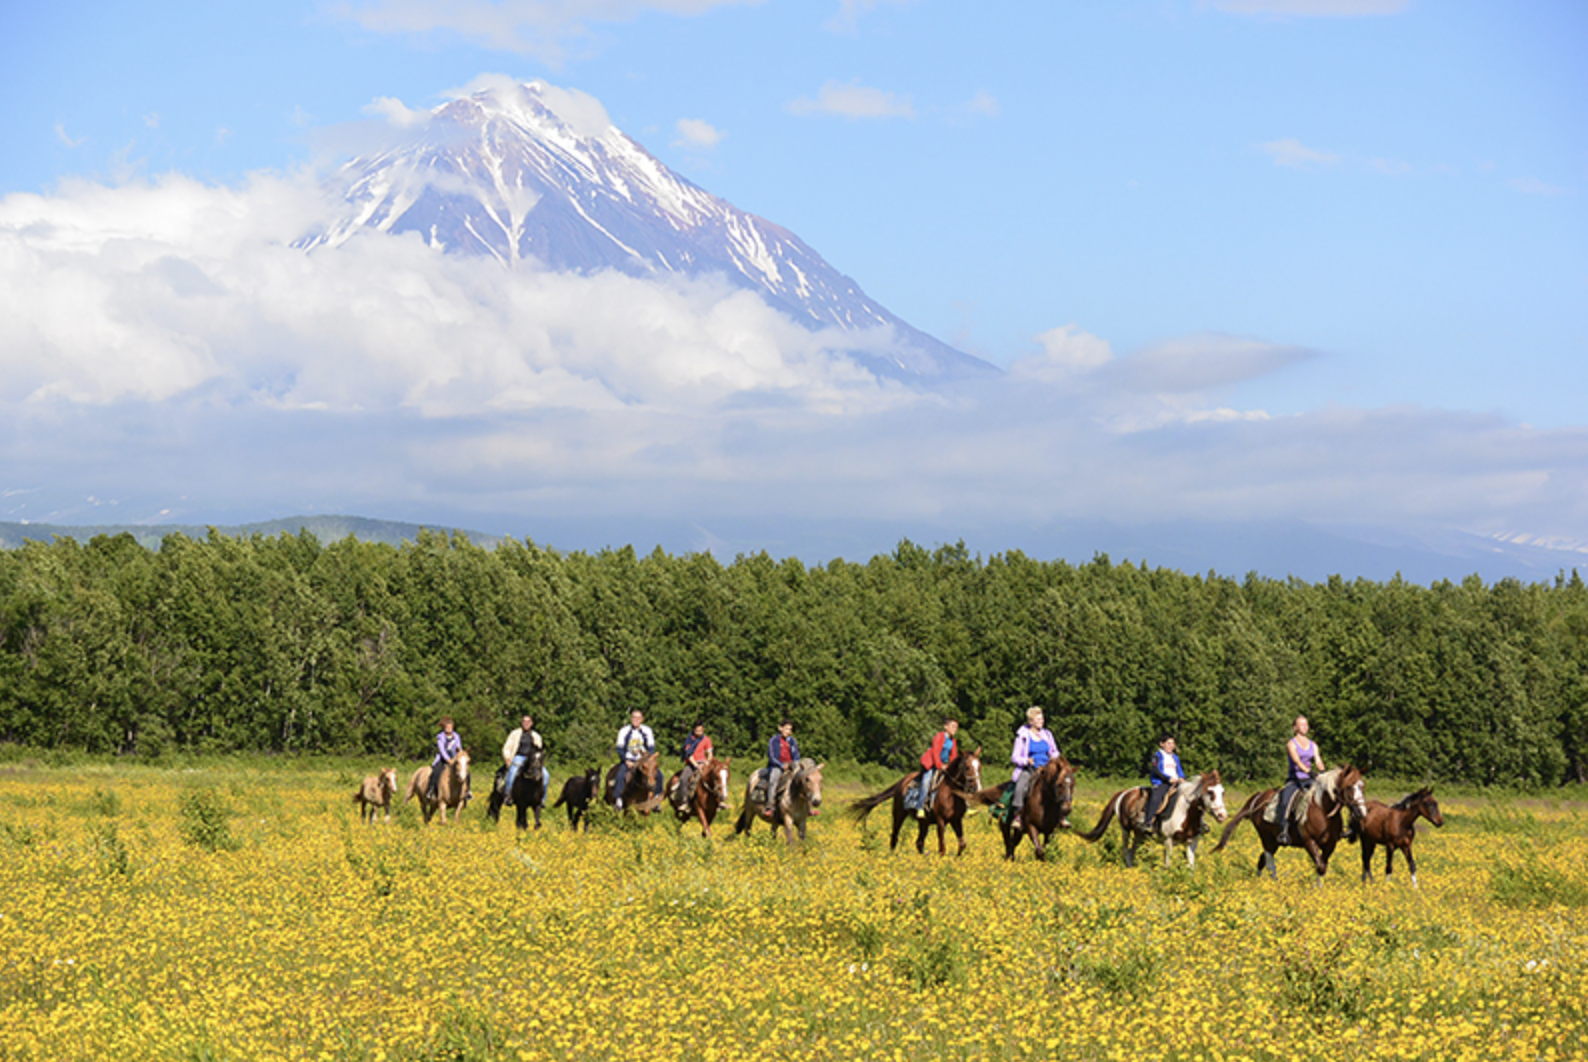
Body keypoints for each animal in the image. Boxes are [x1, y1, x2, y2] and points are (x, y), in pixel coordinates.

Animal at [851, 746, 984, 850]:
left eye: (979, 766)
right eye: (967, 767)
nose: (977, 788)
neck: (950, 794)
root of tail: (902, 781)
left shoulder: (956, 820)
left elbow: (962, 845)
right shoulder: (941, 821)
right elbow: (942, 847)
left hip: (923, 822)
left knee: (919, 843)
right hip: (899, 814)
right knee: (894, 837)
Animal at [1079, 774, 1225, 863]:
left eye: (1222, 792)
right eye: (1210, 792)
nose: (1222, 815)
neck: (1186, 812)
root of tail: (1125, 792)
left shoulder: (1192, 842)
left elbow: (1190, 865)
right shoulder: (1168, 840)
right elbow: (1168, 863)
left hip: (1140, 834)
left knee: (1133, 850)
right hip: (1125, 829)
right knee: (1126, 850)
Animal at [1206, 761, 1372, 876]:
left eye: (1363, 786)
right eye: (1349, 787)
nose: (1362, 812)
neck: (1323, 810)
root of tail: (1258, 797)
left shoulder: (1330, 845)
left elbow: (1322, 867)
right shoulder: (1309, 842)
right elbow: (1320, 866)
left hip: (1273, 842)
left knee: (1262, 860)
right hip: (1267, 838)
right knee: (1267, 861)